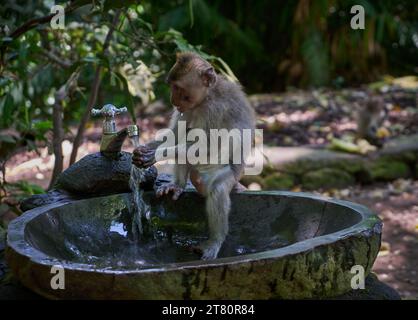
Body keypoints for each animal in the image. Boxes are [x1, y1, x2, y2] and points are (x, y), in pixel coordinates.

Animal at [131, 51, 255, 258]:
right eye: (171, 86)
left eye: (178, 87)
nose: (172, 100)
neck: (204, 99)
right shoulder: (186, 110)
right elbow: (175, 133)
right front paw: (144, 148)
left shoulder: (214, 109)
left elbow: (209, 146)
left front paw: (154, 154)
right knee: (187, 136)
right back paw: (178, 185)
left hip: (230, 173)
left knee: (217, 189)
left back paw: (215, 241)